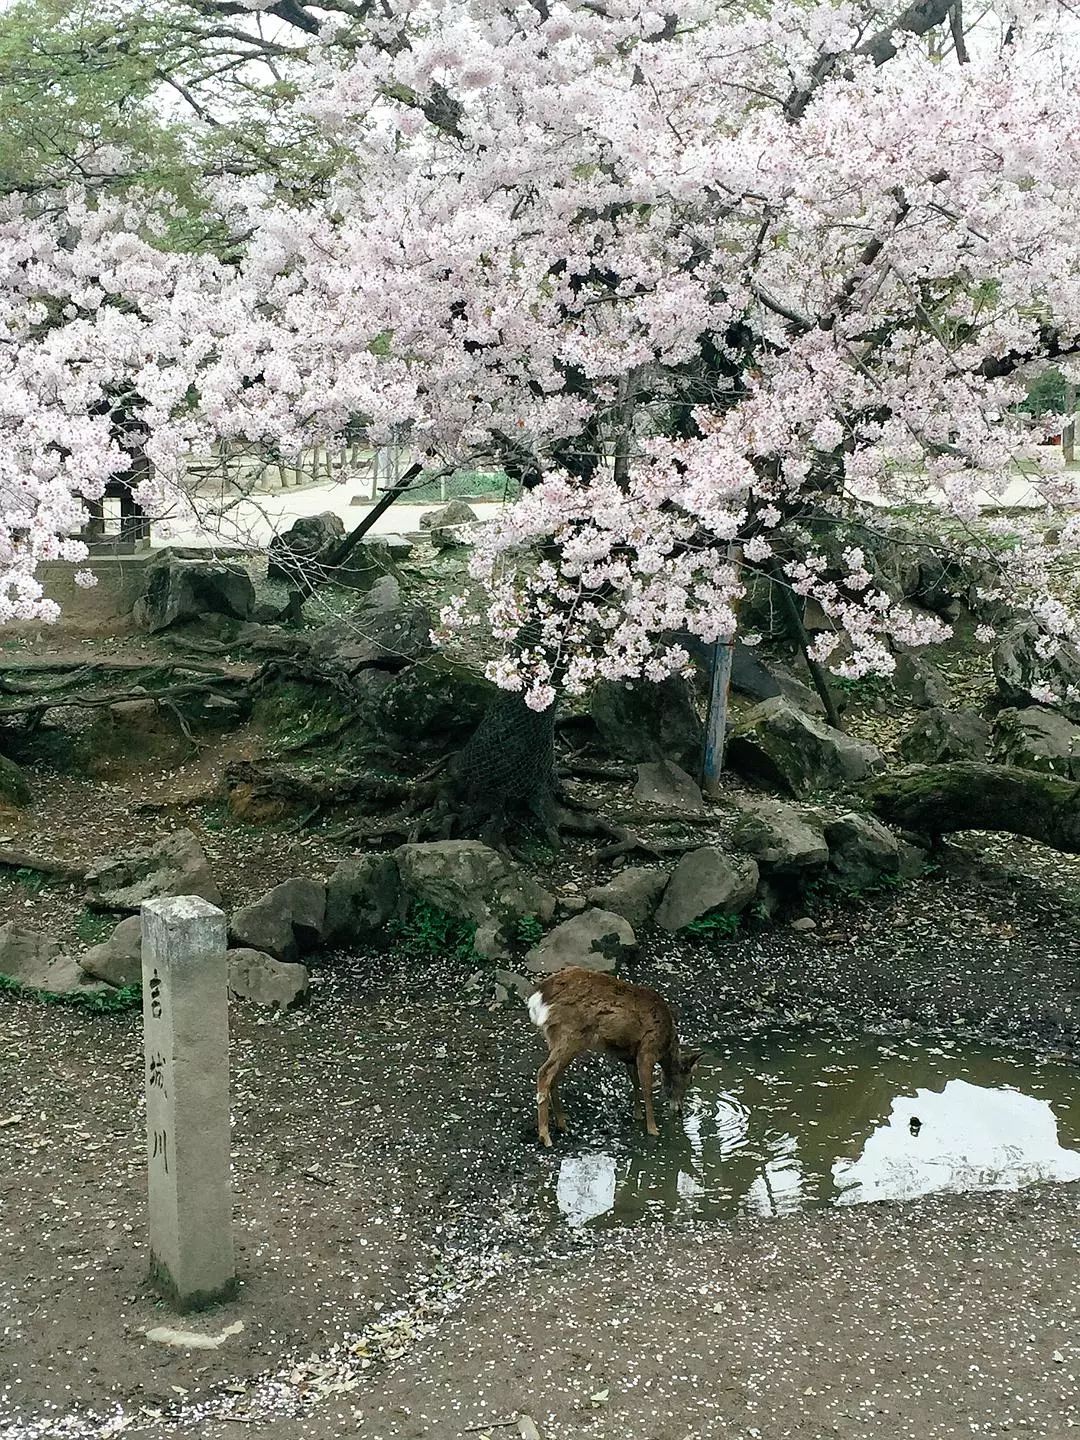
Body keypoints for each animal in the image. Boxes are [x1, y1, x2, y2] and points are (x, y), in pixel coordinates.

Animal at [529, 967, 705, 1146]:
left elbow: (635, 1082)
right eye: (689, 1080)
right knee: (544, 1072)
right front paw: (653, 1130)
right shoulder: (647, 1050)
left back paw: (562, 1125)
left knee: (554, 1077)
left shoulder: (631, 1055)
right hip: (569, 1036)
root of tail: (538, 997)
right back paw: (545, 1136)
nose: (680, 1111)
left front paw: (637, 1115)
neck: (665, 1044)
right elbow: (647, 1089)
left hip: (558, 1039)